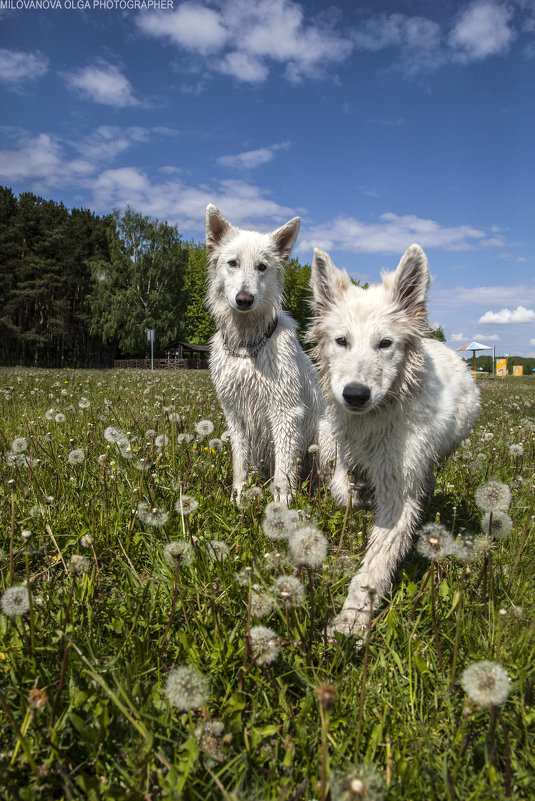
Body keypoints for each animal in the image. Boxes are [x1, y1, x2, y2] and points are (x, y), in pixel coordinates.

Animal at [205, 203, 324, 504]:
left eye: (262, 267)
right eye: (232, 263)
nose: (244, 299)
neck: (247, 345)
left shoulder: (285, 412)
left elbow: (284, 469)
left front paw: (282, 503)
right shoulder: (235, 414)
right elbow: (240, 462)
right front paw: (239, 496)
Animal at [310, 241, 482, 636]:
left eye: (385, 344)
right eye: (341, 341)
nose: (355, 394)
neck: (375, 418)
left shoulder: (398, 488)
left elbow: (376, 561)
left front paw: (352, 619)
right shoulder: (346, 452)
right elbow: (341, 489)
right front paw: (358, 497)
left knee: (428, 479)